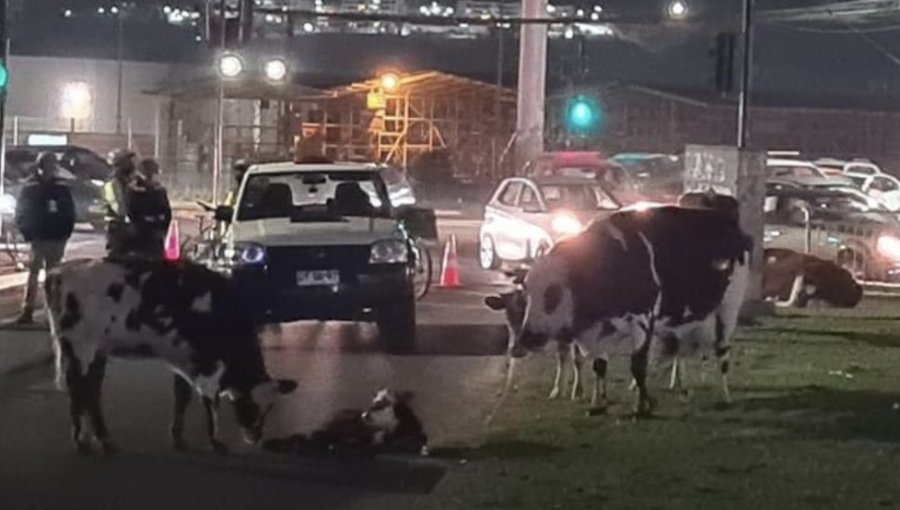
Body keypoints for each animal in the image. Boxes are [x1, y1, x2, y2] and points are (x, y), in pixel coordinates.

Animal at [44, 258, 298, 454]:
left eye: (270, 407)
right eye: (248, 403)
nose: (254, 437)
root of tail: (58, 272)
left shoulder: (184, 359)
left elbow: (182, 396)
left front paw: (178, 437)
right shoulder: (208, 366)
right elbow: (211, 401)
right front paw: (216, 442)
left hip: (98, 350)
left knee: (91, 391)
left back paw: (104, 439)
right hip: (80, 347)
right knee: (78, 390)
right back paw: (81, 440)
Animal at [510, 206, 748, 414]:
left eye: (553, 293)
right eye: (527, 292)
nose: (521, 343)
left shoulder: (642, 320)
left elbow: (637, 365)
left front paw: (642, 407)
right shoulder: (603, 331)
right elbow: (600, 366)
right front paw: (599, 404)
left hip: (728, 308)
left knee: (722, 352)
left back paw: (724, 396)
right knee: (679, 352)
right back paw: (684, 390)